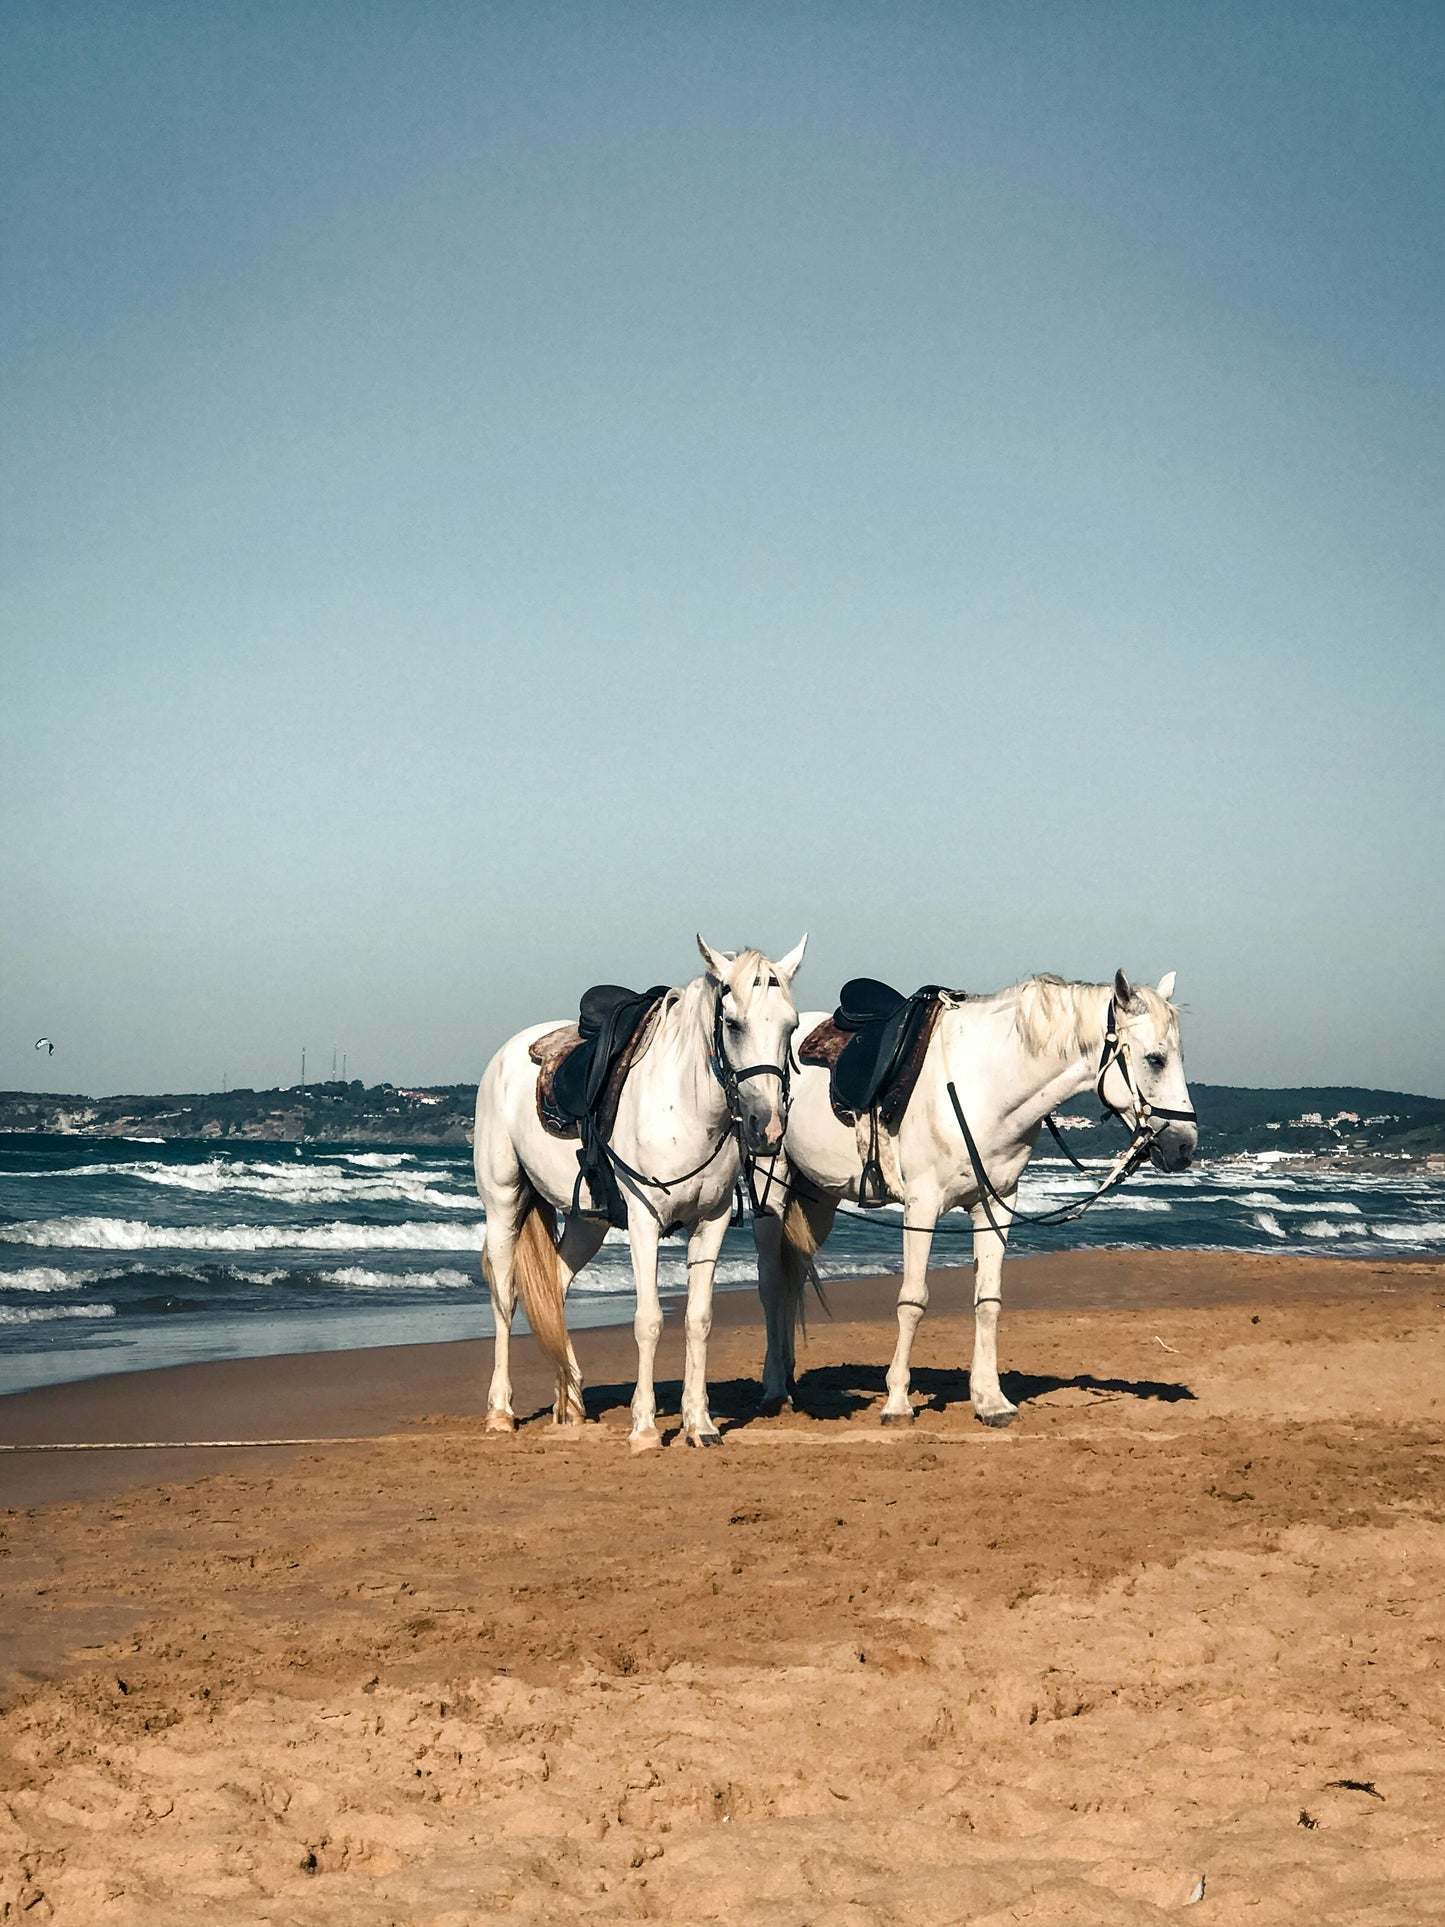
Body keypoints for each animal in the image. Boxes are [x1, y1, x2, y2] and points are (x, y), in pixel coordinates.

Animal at [474, 934, 807, 1451]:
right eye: (733, 1024)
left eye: (790, 1026)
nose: (766, 1127)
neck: (686, 1106)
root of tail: (506, 1057)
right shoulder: (645, 1223)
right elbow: (649, 1321)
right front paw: (646, 1428)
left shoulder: (710, 1224)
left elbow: (698, 1319)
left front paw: (699, 1424)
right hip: (504, 1202)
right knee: (505, 1296)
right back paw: (500, 1412)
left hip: (588, 1222)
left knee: (555, 1286)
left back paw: (570, 1402)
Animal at [754, 969, 1196, 1425]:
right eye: (1155, 1059)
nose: (1184, 1147)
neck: (982, 1086)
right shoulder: (922, 1206)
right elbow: (913, 1300)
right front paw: (897, 1402)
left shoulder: (996, 1206)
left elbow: (988, 1300)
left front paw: (990, 1400)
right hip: (771, 1185)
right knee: (771, 1283)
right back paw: (774, 1390)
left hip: (815, 1197)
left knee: (791, 1280)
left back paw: (788, 1379)